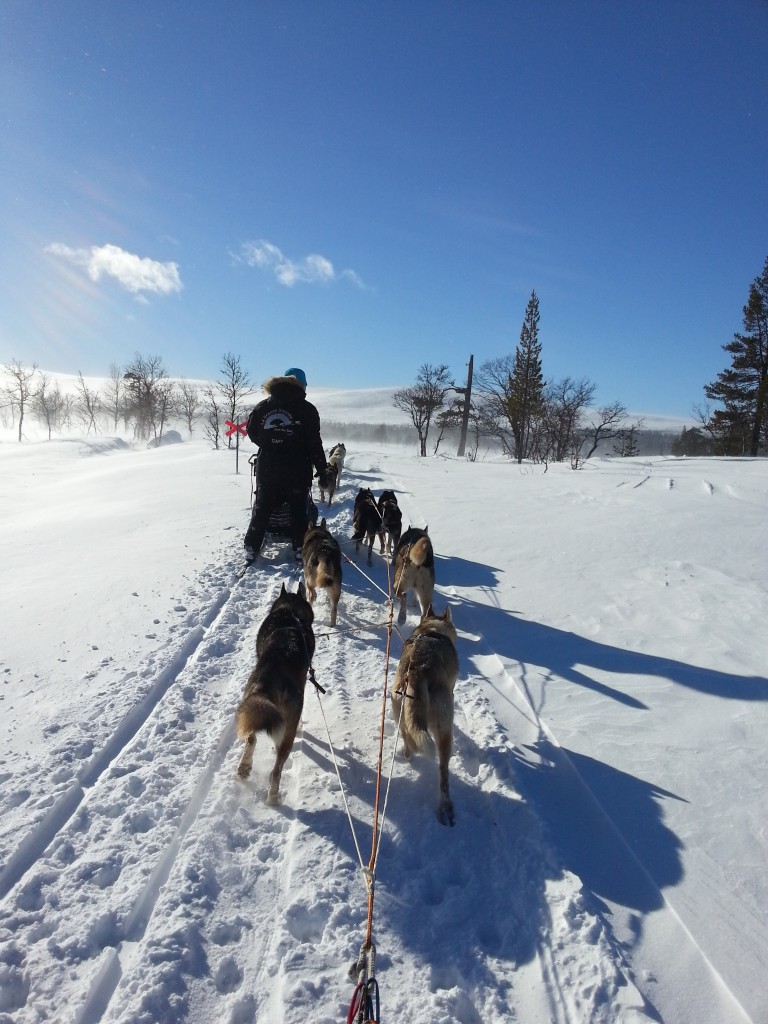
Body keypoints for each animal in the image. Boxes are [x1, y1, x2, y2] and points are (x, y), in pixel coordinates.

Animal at [237, 581, 315, 802]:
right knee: (277, 768)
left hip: (250, 704)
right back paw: (273, 798)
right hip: (287, 729)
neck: (289, 613)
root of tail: (271, 676)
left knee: (251, 738)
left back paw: (244, 768)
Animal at [393, 602, 460, 827]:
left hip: (399, 712)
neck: (432, 629)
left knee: (408, 742)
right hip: (443, 728)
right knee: (443, 773)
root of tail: (417, 673)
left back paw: (408, 754)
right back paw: (446, 808)